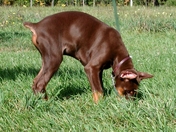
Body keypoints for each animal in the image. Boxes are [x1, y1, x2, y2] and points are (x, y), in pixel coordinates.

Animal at [24, 10, 153, 102]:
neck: (116, 54)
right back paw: (47, 102)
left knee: (36, 82)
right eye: (130, 91)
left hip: (46, 59)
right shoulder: (91, 68)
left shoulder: (98, 70)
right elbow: (98, 91)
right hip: (54, 58)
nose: (131, 104)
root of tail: (37, 25)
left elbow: (101, 87)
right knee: (40, 83)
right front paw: (99, 105)